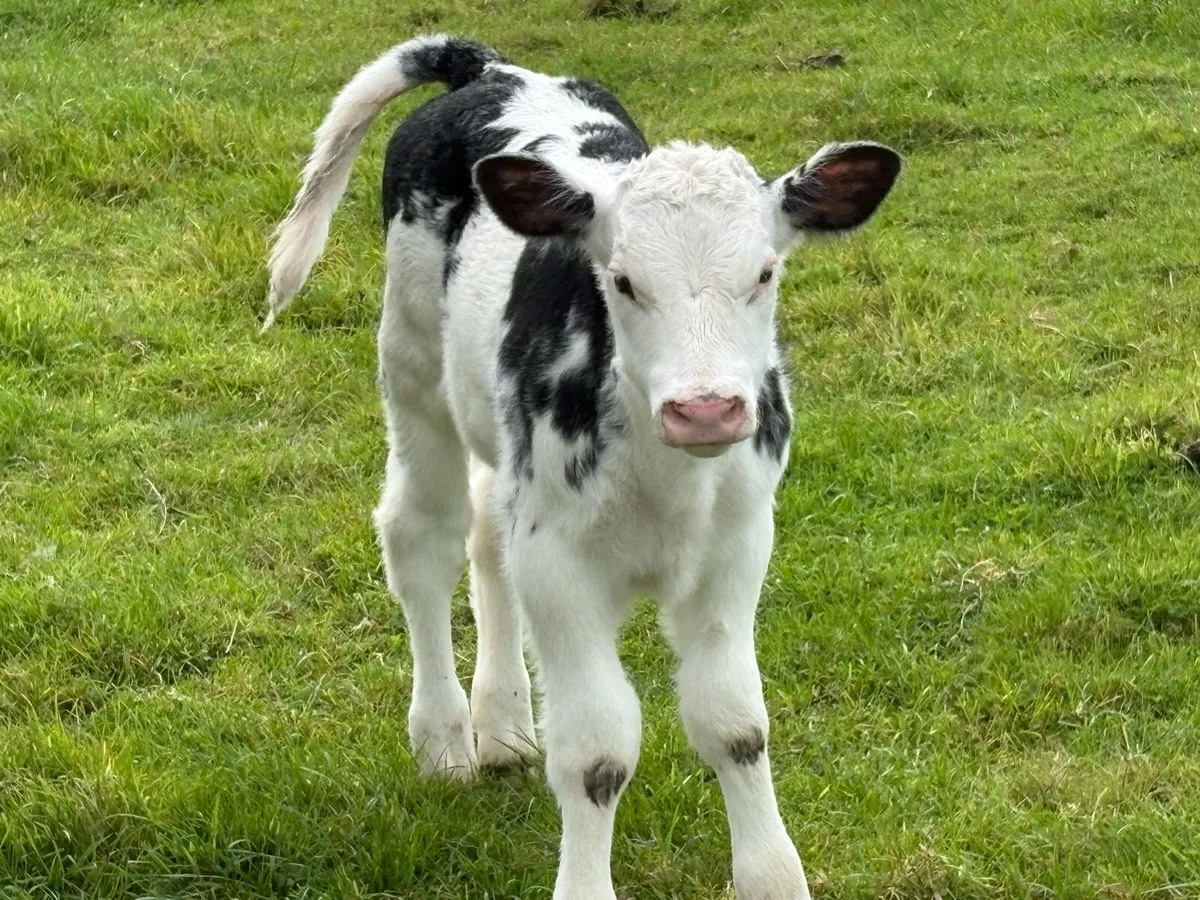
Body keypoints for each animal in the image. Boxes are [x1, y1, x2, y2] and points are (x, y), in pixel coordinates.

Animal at [266, 34, 900, 900]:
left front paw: (772, 877)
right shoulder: (559, 561)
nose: (706, 409)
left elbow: (735, 723)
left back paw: (503, 724)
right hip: (412, 364)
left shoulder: (737, 547)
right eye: (623, 281)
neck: (668, 485)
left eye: (765, 273)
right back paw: (445, 739)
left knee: (485, 537)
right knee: (422, 536)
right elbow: (598, 752)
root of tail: (489, 67)